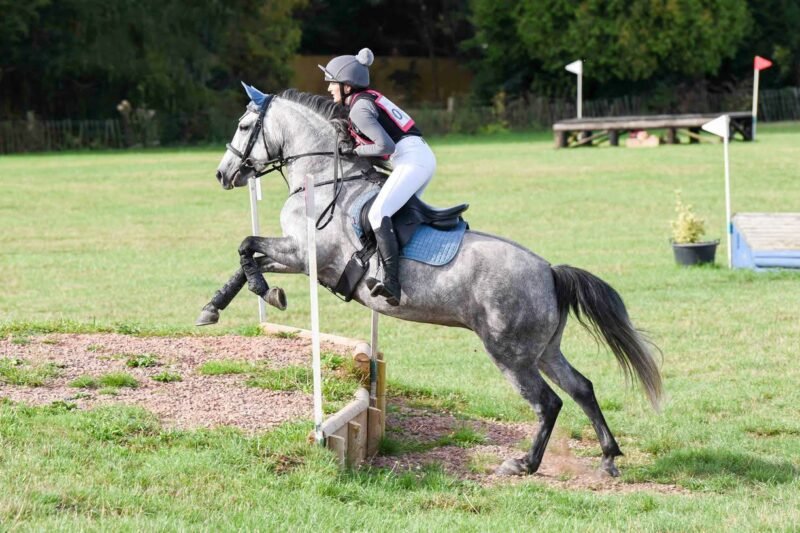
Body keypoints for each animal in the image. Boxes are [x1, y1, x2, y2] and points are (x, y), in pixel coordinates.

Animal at [199, 85, 663, 477]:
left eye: (244, 126)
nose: (222, 175)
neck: (326, 179)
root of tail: (549, 273)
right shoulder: (300, 258)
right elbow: (247, 259)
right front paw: (218, 306)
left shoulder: (307, 255)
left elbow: (246, 246)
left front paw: (265, 292)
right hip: (544, 349)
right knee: (582, 388)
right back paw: (608, 457)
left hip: (510, 353)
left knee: (548, 402)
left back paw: (524, 464)